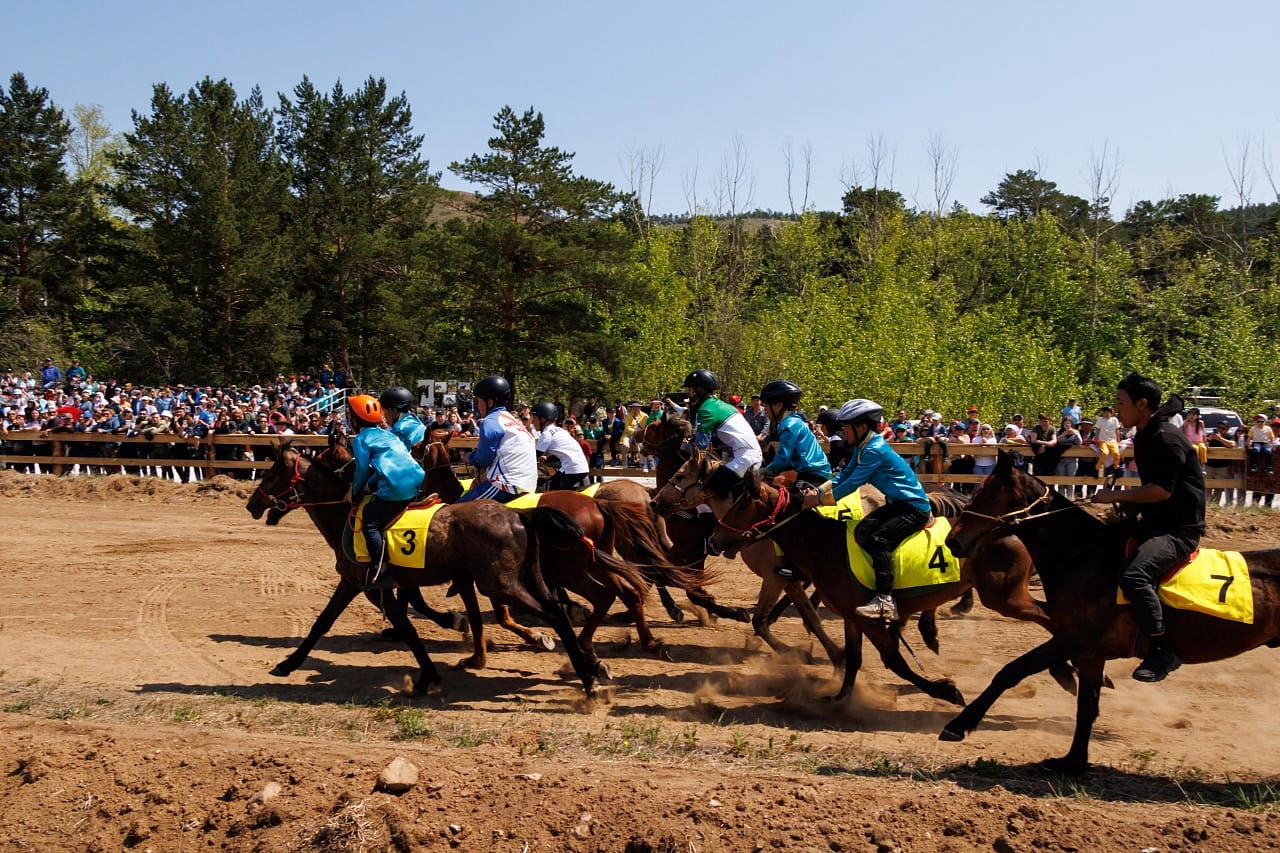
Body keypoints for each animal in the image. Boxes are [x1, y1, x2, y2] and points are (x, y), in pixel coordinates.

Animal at [247, 435, 650, 696]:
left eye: (269, 474)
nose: (252, 504)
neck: (347, 515)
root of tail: (523, 516)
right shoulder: (375, 583)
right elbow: (341, 620)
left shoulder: (370, 584)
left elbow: (393, 623)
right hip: (537, 576)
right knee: (570, 604)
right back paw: (591, 660)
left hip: (517, 580)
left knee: (571, 606)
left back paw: (591, 667)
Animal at [936, 448, 1280, 773]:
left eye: (989, 494)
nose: (953, 541)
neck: (1084, 556)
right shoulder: (1090, 653)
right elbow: (1087, 708)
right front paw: (1072, 762)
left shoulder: (1074, 641)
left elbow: (1010, 672)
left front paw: (958, 725)